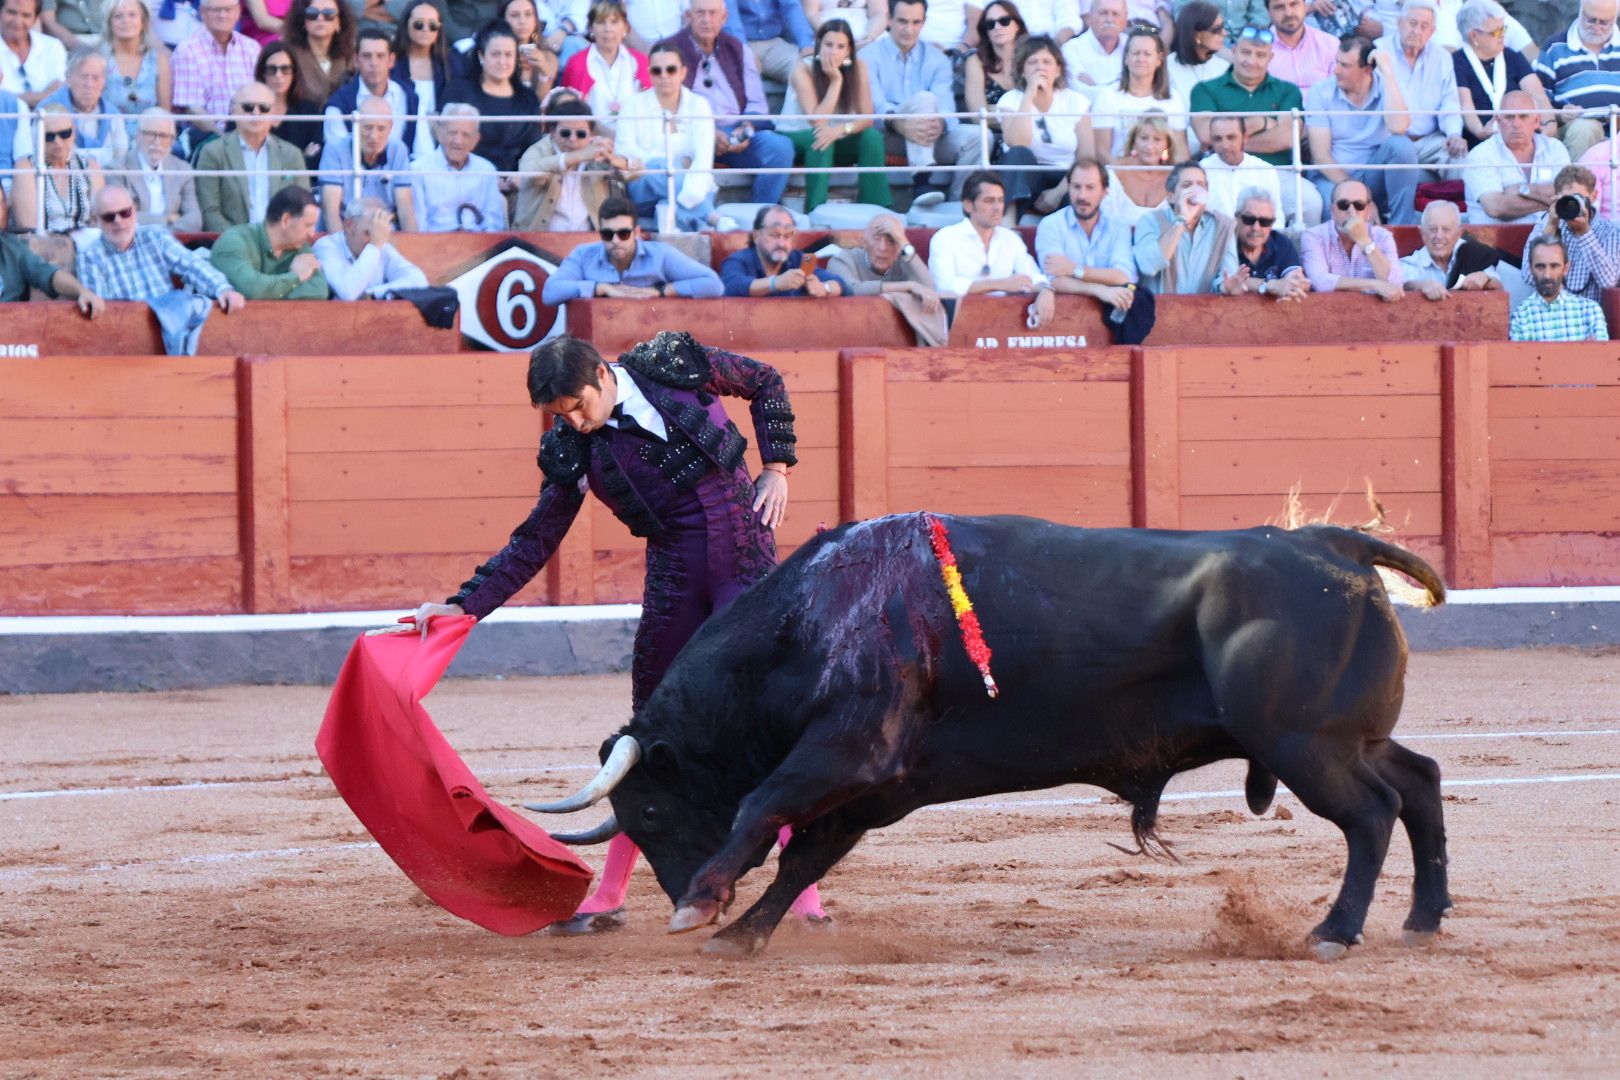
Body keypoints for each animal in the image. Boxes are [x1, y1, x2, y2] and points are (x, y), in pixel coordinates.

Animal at [534, 514, 1458, 965]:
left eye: (653, 811)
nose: (679, 887)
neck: (814, 617)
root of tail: (1329, 543)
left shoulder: (851, 751)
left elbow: (762, 807)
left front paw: (704, 906)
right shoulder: (880, 788)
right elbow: (804, 856)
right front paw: (740, 933)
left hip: (1305, 743)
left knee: (1371, 814)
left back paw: (1334, 932)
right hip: (1346, 737)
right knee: (1418, 781)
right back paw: (1422, 918)